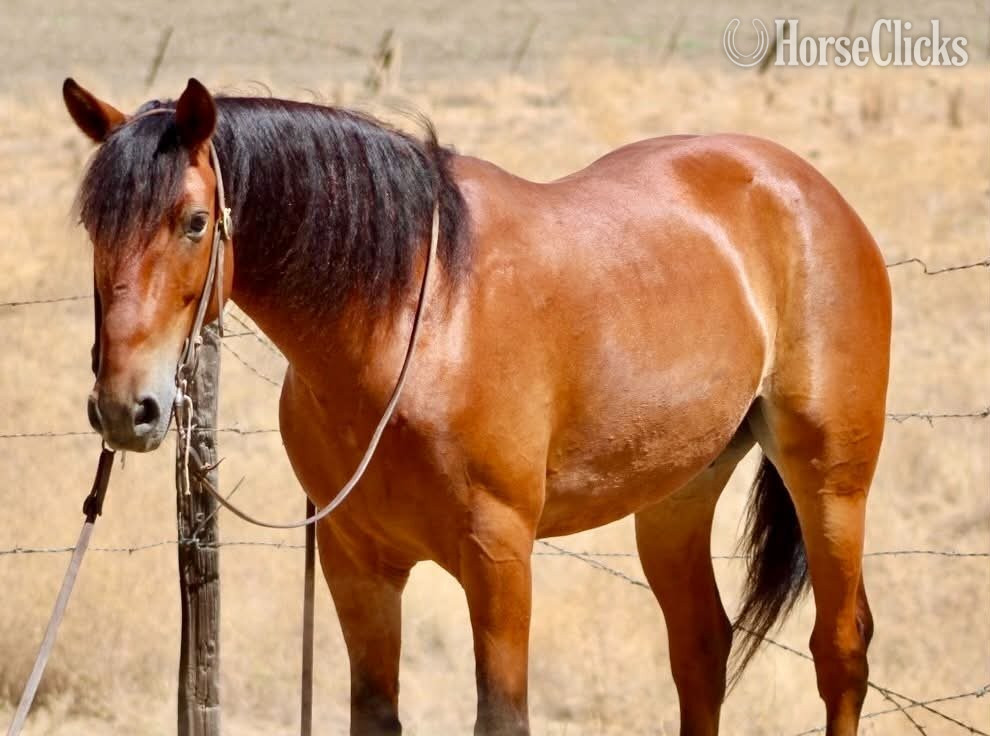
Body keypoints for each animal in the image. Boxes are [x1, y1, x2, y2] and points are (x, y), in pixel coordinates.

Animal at [62, 77, 890, 736]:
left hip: (830, 483)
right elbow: (375, 714)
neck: (415, 321)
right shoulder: (357, 564)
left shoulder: (498, 555)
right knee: (700, 650)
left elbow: (501, 716)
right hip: (675, 496)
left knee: (841, 650)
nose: (125, 408)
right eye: (93, 226)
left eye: (194, 222)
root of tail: (803, 187)